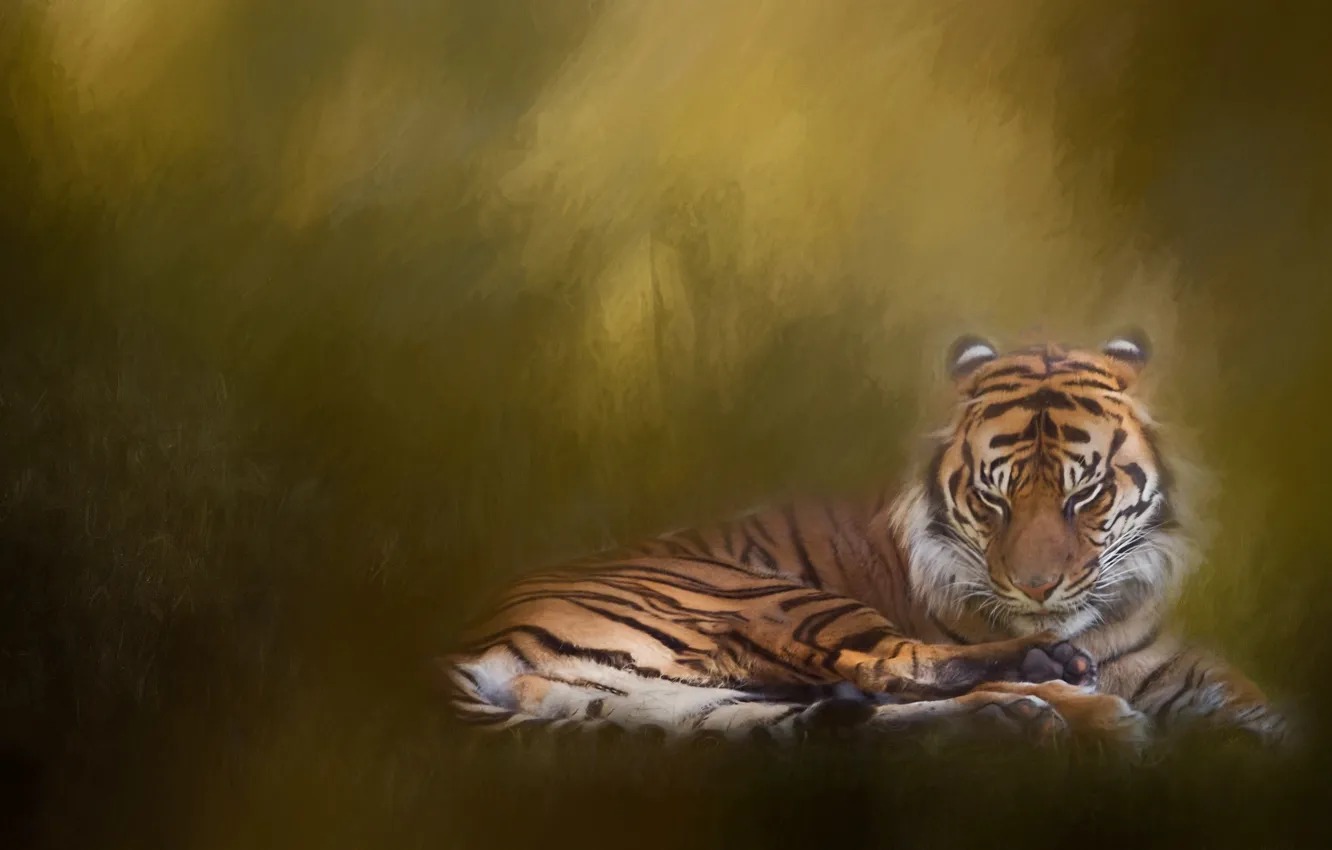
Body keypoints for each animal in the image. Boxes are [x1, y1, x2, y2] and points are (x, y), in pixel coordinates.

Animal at [441, 332, 1288, 747]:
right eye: (992, 498)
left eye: (1087, 495)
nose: (1037, 589)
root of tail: (477, 641)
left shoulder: (1175, 662)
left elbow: (1257, 706)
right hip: (766, 600)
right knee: (891, 667)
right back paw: (1068, 699)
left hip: (674, 705)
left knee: (838, 717)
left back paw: (1022, 711)